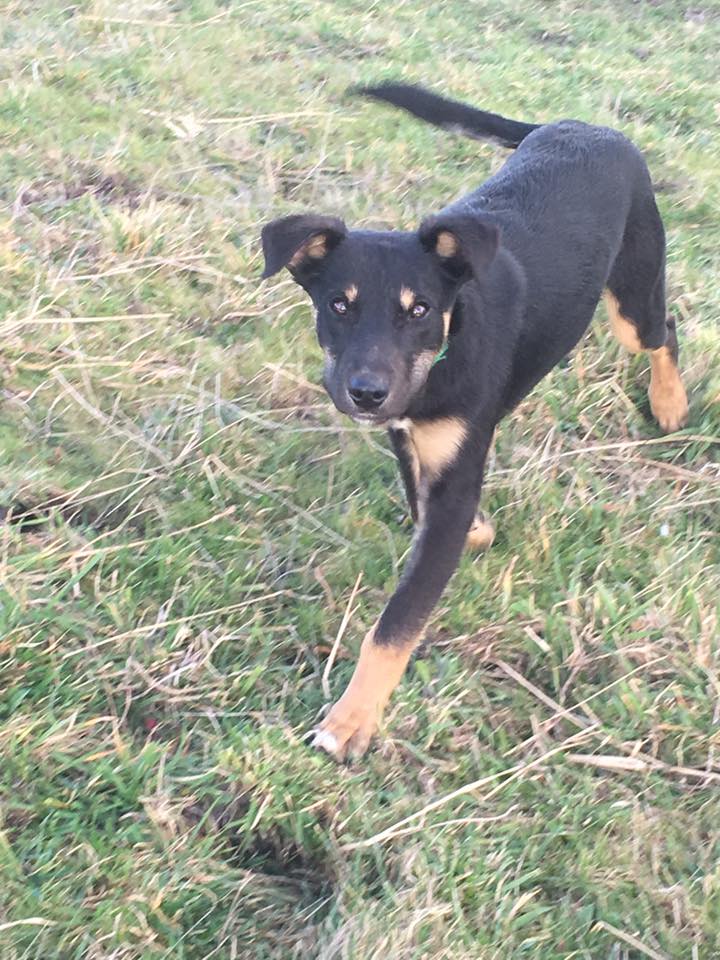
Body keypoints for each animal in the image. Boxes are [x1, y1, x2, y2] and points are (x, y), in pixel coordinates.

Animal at [260, 83, 689, 761]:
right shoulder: (410, 440)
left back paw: (670, 403)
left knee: (662, 329)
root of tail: (585, 126)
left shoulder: (452, 475)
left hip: (632, 296)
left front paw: (351, 721)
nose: (366, 394)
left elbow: (396, 621)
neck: (449, 343)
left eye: (419, 310)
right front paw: (480, 533)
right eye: (338, 305)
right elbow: (424, 502)